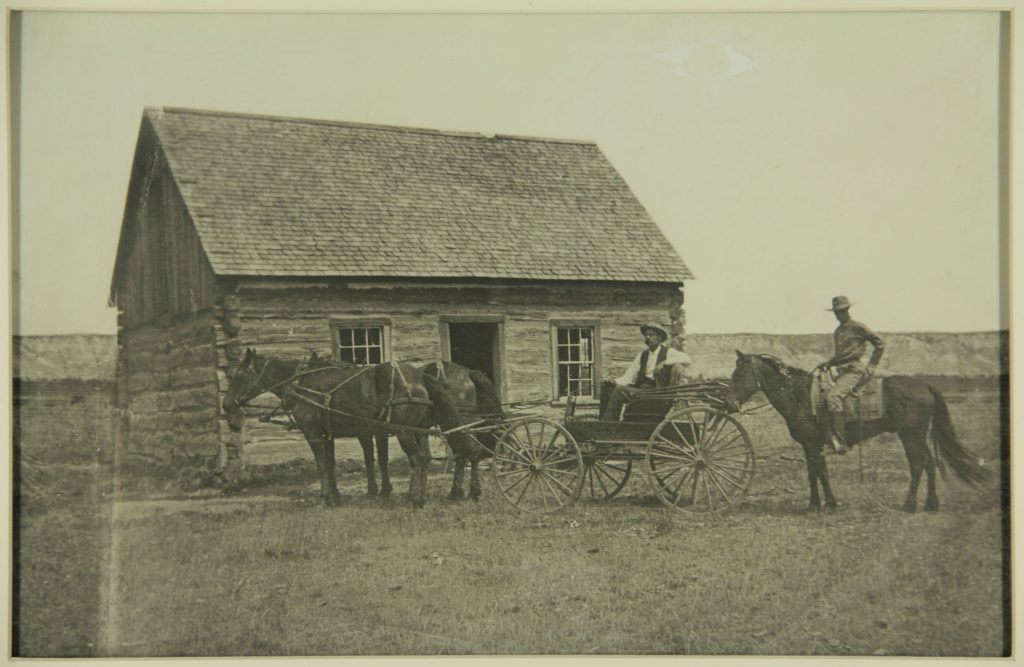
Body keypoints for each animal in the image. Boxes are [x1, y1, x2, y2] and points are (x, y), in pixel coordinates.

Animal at [226, 346, 462, 508]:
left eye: (238, 375)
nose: (226, 405)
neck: (300, 384)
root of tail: (420, 376)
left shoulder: (313, 432)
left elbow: (321, 464)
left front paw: (326, 498)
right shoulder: (327, 433)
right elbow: (330, 463)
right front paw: (336, 497)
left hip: (404, 431)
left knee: (417, 459)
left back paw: (414, 499)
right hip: (418, 430)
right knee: (426, 458)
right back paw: (422, 496)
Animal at [724, 352, 987, 514]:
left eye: (739, 374)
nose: (728, 404)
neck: (799, 396)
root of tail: (925, 385)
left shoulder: (813, 445)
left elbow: (819, 473)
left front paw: (825, 504)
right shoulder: (811, 446)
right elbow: (815, 473)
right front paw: (818, 505)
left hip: (910, 435)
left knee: (917, 464)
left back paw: (909, 505)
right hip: (918, 435)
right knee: (930, 463)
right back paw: (931, 504)